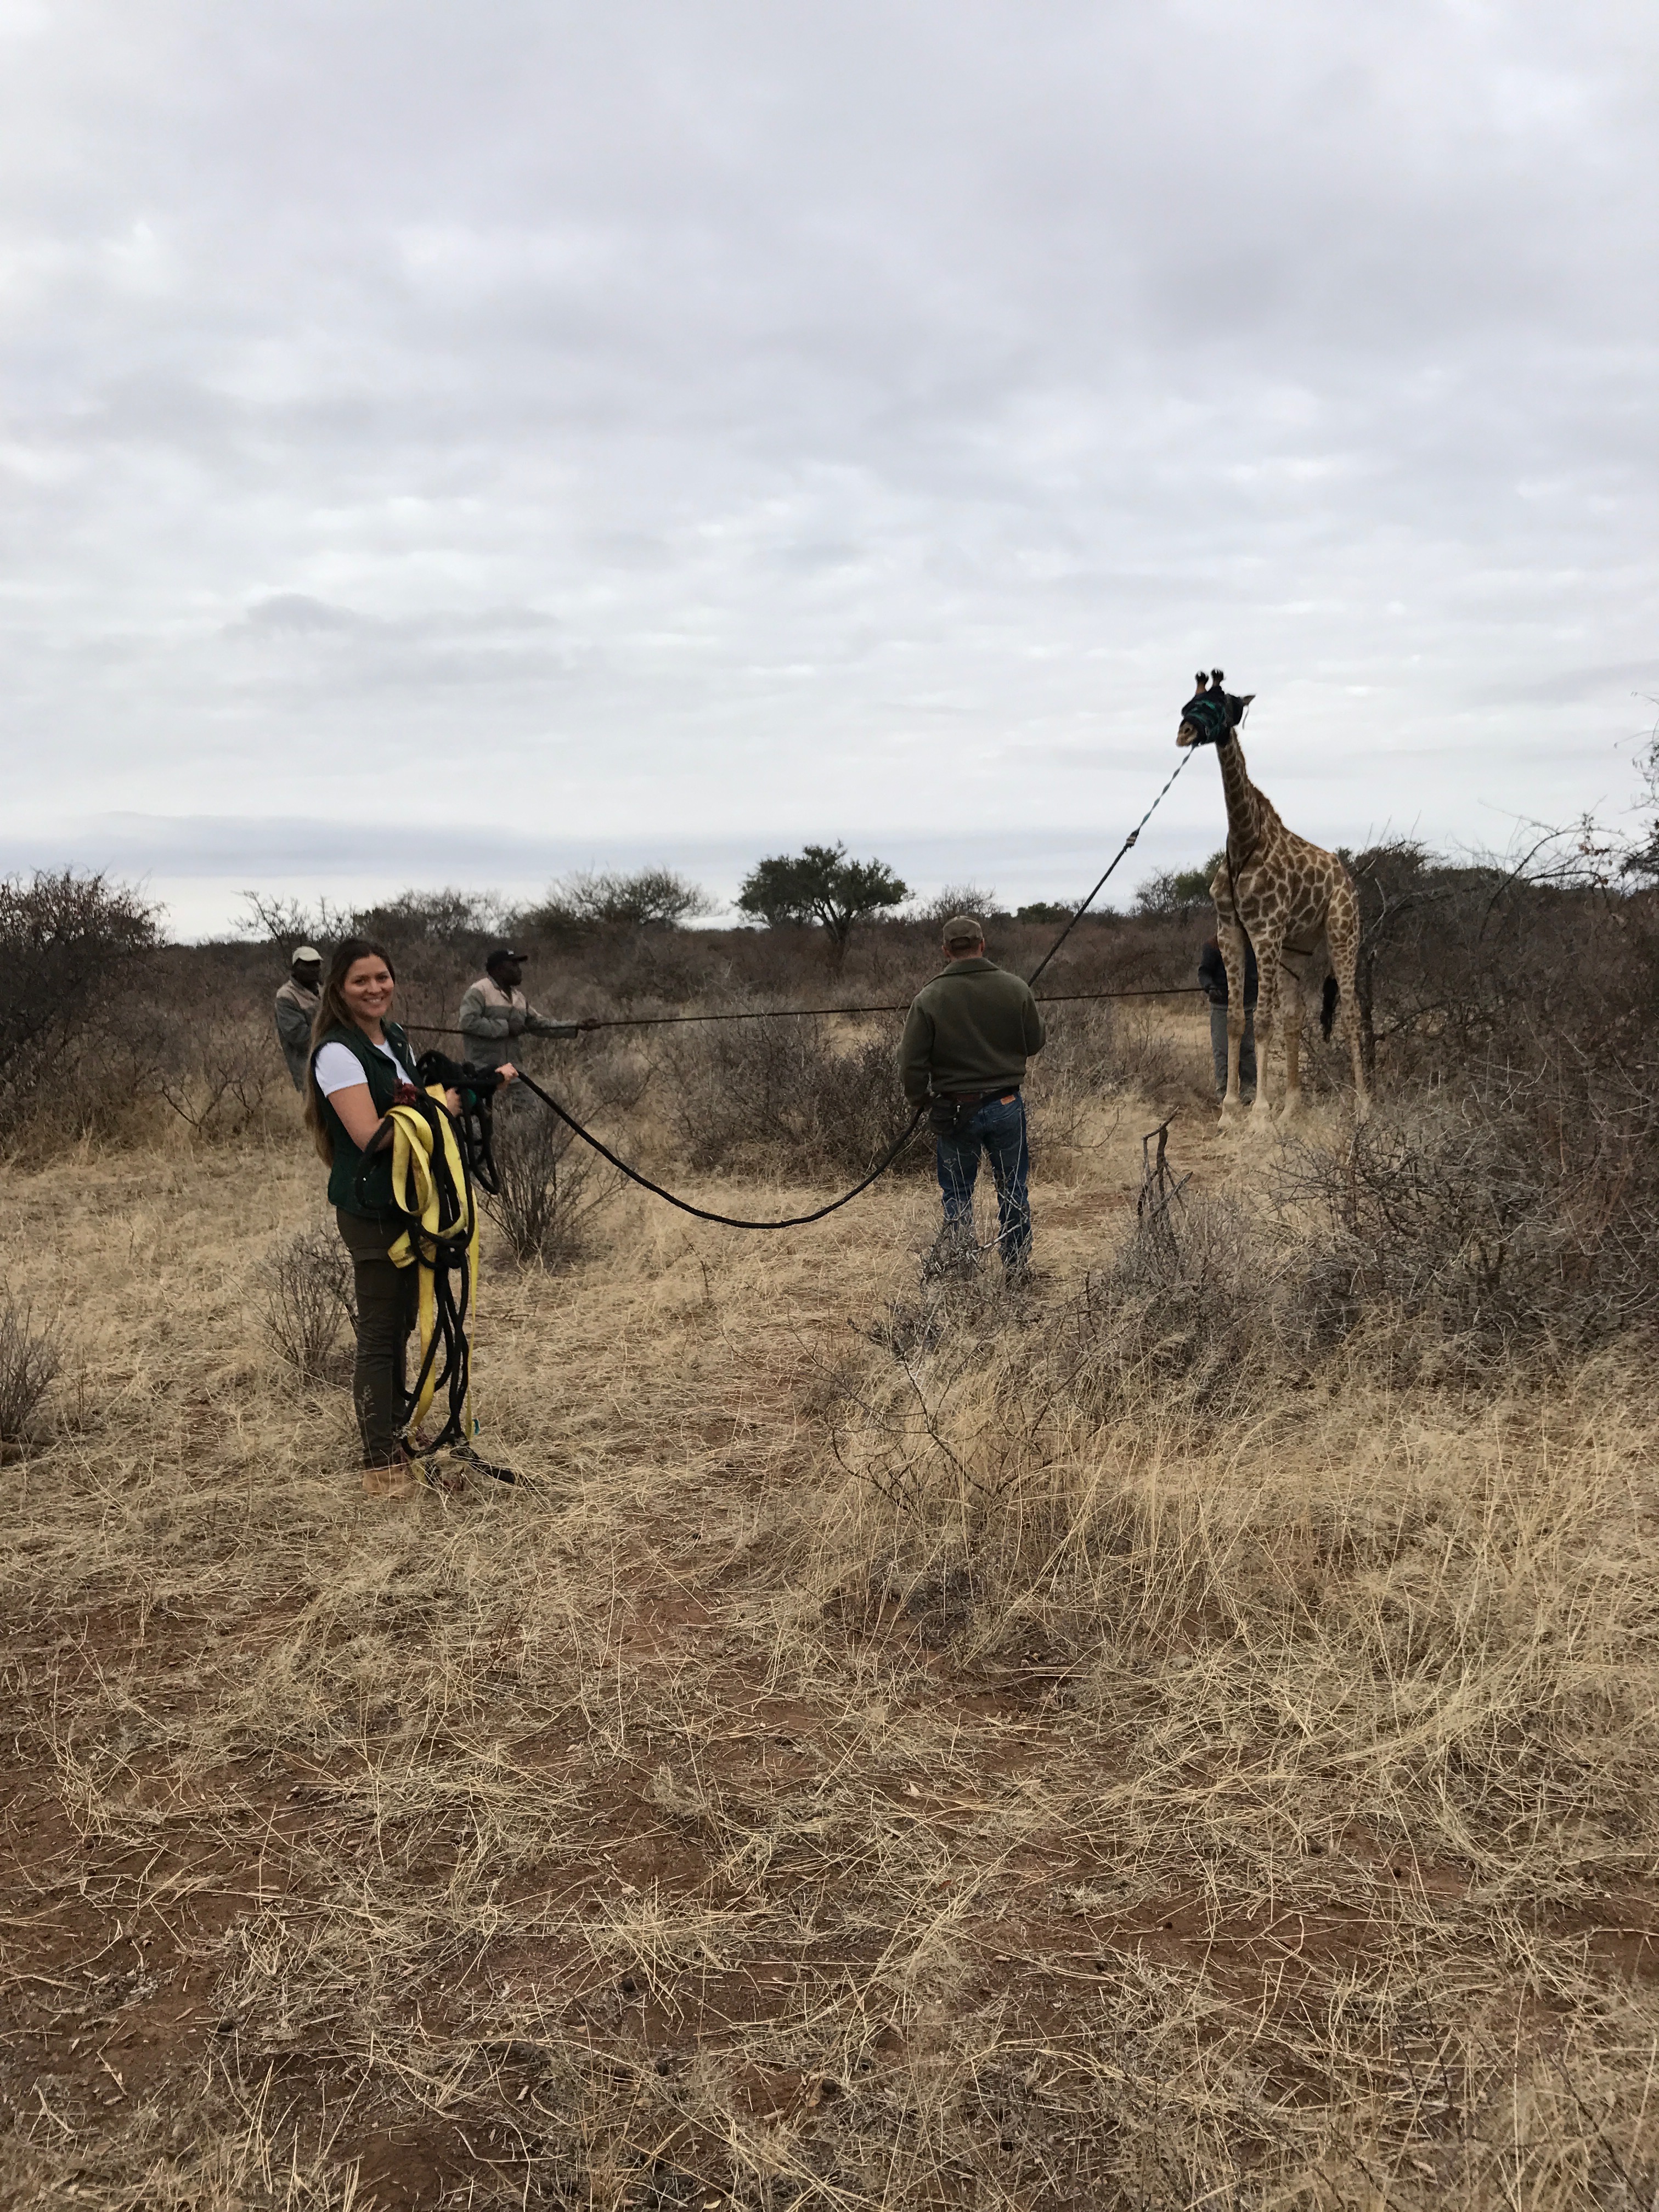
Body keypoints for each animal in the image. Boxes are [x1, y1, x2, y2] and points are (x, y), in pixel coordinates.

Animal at [1176, 670, 1369, 1123]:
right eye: (1191, 700)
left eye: (1220, 702)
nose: (1185, 732)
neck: (1244, 838)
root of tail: (1347, 878)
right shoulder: (1230, 928)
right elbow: (1236, 1020)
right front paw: (1231, 1109)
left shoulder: (1265, 930)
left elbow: (1261, 1019)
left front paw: (1259, 1115)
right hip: (1297, 947)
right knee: (1295, 1015)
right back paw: (1292, 1109)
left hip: (1343, 930)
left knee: (1352, 1012)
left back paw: (1364, 1107)